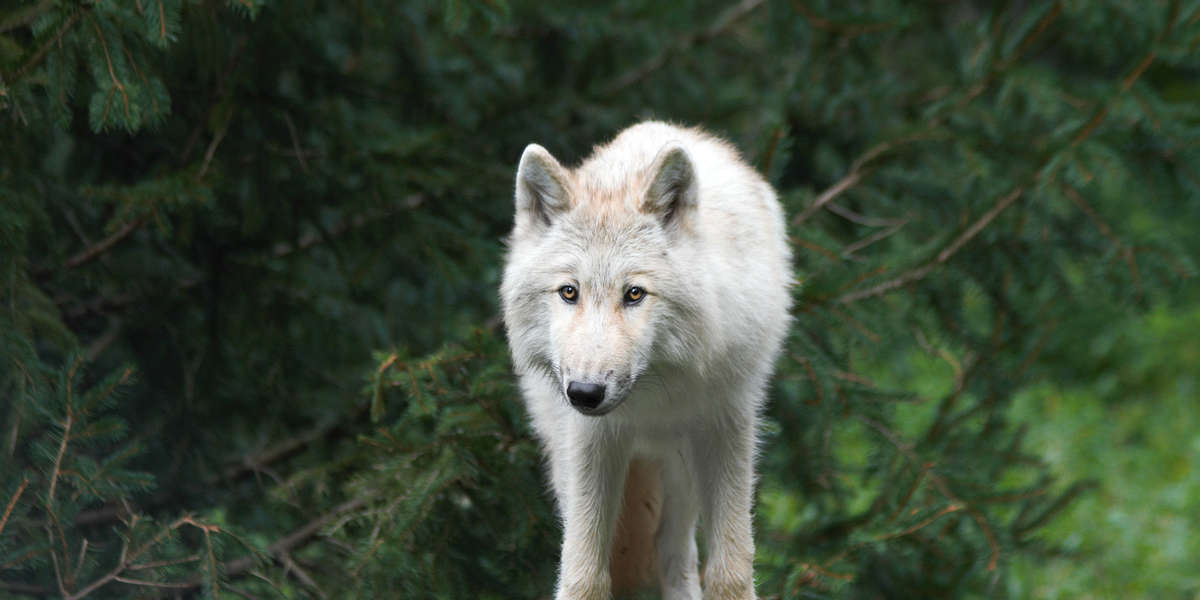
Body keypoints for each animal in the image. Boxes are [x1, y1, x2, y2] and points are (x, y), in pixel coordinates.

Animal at [500, 121, 792, 600]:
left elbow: (730, 571)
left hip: (684, 467)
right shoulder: (590, 441)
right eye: (569, 292)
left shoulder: (728, 424)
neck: (653, 396)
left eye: (634, 293)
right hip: (567, 456)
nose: (585, 393)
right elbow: (583, 575)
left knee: (676, 555)